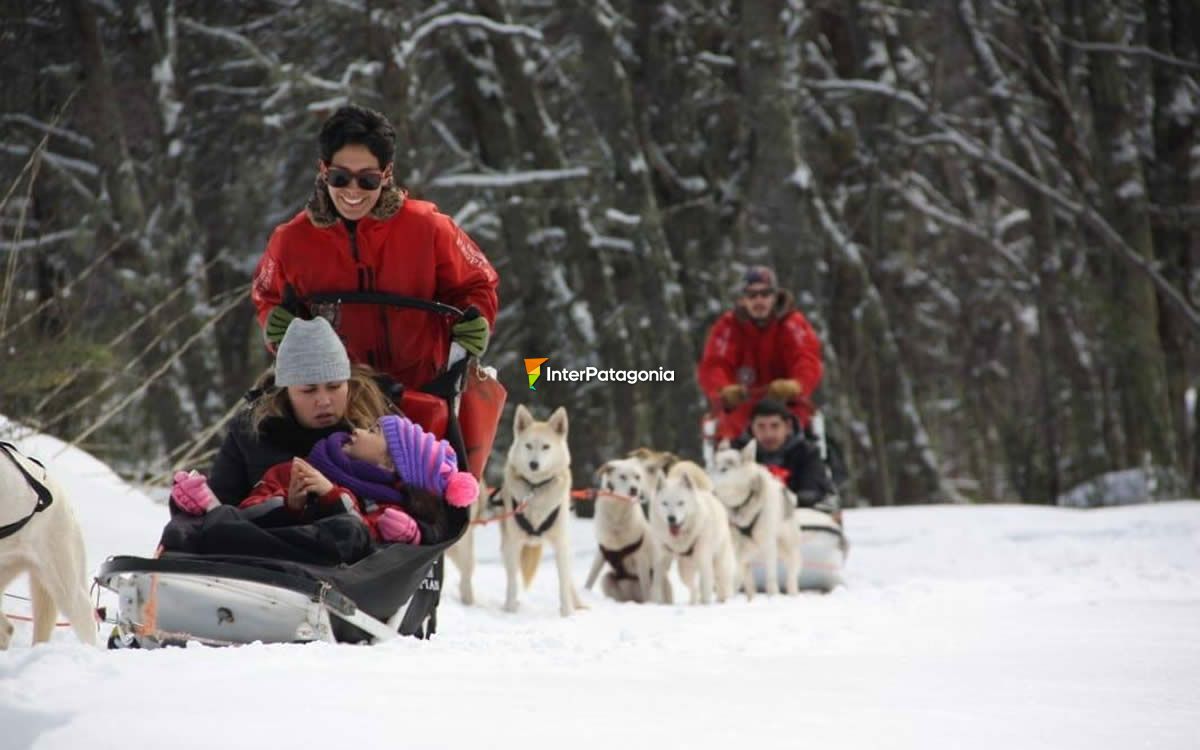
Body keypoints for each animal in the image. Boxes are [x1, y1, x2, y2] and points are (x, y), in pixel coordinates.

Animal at [499, 405, 583, 619]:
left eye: (546, 447)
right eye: (528, 446)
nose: (533, 464)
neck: (535, 489)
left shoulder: (561, 544)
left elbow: (563, 584)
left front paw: (567, 614)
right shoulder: (513, 544)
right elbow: (512, 583)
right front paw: (510, 610)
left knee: (569, 580)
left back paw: (579, 605)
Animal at [583, 456, 652, 602]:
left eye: (637, 477)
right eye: (622, 476)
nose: (634, 490)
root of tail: (632, 598)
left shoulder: (641, 559)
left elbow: (646, 587)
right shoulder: (602, 551)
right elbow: (591, 577)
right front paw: (584, 592)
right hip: (606, 580)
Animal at [652, 458, 734, 604]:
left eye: (681, 503)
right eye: (665, 503)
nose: (671, 518)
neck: (680, 541)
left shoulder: (704, 561)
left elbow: (706, 589)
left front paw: (706, 605)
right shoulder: (661, 559)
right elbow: (657, 585)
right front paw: (656, 603)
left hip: (718, 563)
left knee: (723, 583)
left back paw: (723, 599)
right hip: (684, 570)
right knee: (694, 588)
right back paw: (693, 602)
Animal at [705, 439, 801, 597]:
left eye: (724, 469)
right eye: (711, 468)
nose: (708, 488)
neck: (741, 506)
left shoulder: (769, 546)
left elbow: (771, 580)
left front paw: (773, 597)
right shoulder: (734, 547)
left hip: (788, 550)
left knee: (791, 576)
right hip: (744, 557)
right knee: (748, 585)